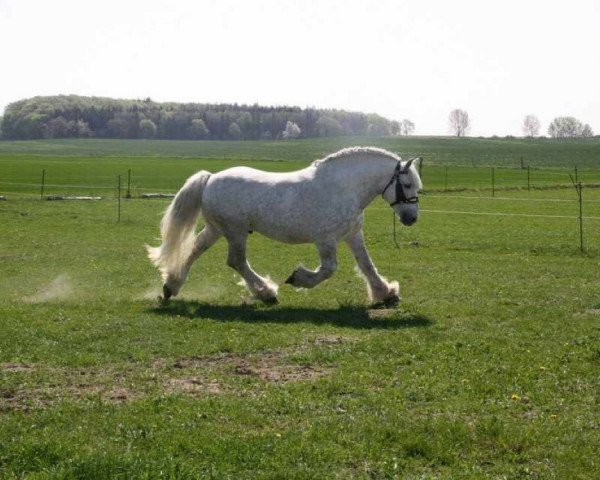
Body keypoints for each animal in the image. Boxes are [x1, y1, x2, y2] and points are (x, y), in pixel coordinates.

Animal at [146, 146, 422, 304]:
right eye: (407, 184)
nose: (411, 219)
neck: (342, 187)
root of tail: (211, 178)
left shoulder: (353, 234)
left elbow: (366, 264)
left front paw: (385, 292)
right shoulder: (325, 240)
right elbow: (328, 269)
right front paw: (298, 278)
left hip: (217, 230)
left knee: (194, 250)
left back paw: (171, 286)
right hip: (235, 231)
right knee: (236, 261)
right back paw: (266, 292)